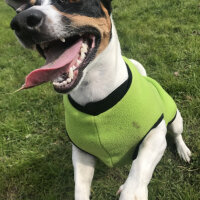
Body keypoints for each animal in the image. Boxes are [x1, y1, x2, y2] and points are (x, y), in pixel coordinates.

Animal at [5, 0, 191, 199]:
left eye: (71, 1)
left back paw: (183, 150)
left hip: (175, 117)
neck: (94, 93)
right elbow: (80, 187)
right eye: (25, 8)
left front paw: (131, 191)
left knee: (176, 133)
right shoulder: (82, 153)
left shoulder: (155, 134)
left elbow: (138, 171)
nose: (21, 21)